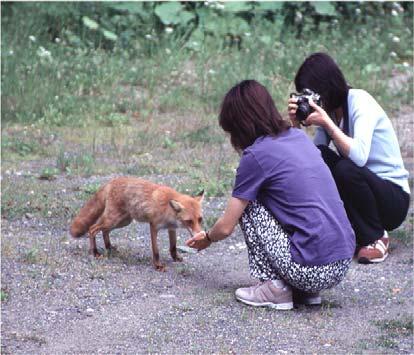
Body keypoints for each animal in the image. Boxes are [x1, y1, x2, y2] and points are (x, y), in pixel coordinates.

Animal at [71, 178, 204, 272]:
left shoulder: (171, 228)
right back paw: (95, 252)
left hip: (122, 221)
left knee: (105, 231)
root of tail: (112, 181)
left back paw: (109, 247)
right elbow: (156, 250)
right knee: (92, 229)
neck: (168, 209)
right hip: (113, 220)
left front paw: (175, 258)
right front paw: (158, 266)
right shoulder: (154, 226)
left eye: (200, 219)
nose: (199, 234)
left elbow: (173, 246)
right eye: (189, 221)